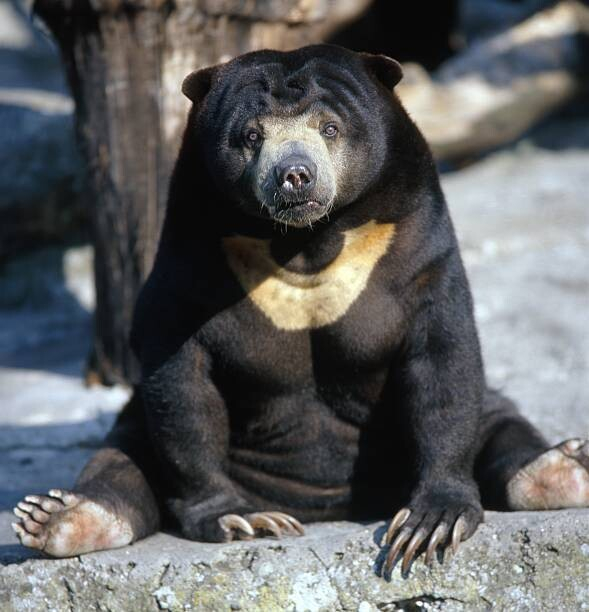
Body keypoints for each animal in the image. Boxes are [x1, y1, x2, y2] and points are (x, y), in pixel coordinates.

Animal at [13, 46, 588, 572]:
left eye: (330, 128)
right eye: (251, 136)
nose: (295, 175)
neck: (306, 240)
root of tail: (327, 503)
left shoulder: (417, 245)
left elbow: (442, 360)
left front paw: (431, 522)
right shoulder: (189, 257)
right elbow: (182, 381)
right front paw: (238, 517)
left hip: (480, 410)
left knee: (498, 423)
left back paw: (563, 469)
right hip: (140, 430)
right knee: (122, 464)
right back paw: (61, 518)